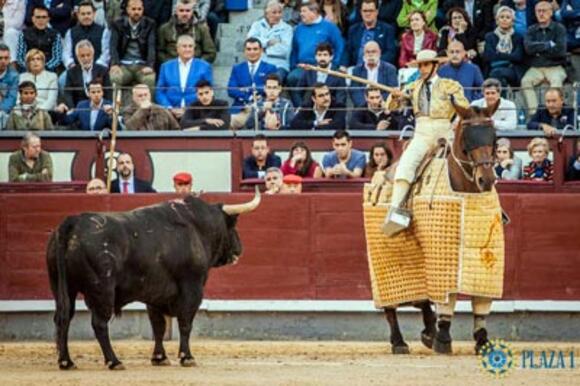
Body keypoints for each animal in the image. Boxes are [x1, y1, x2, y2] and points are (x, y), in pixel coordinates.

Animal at [46, 191, 260, 370]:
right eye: (232, 225)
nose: (239, 248)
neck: (197, 227)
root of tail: (73, 222)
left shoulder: (155, 294)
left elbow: (158, 326)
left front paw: (159, 357)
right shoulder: (192, 288)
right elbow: (185, 323)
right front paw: (187, 357)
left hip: (62, 288)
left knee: (63, 318)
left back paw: (66, 361)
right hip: (102, 290)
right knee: (99, 324)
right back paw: (114, 361)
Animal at [380, 103, 498, 356]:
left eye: (494, 138)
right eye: (466, 141)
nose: (486, 180)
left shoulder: (487, 253)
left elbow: (481, 296)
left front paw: (482, 340)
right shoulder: (443, 252)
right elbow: (448, 295)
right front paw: (443, 338)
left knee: (422, 296)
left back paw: (428, 332)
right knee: (390, 300)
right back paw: (399, 342)